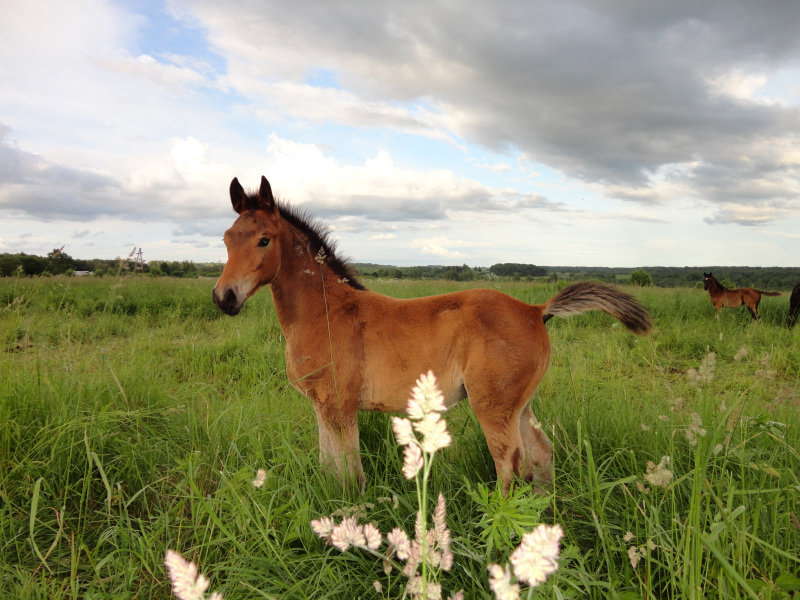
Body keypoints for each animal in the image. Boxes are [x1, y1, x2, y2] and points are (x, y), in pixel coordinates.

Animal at [214, 177, 656, 492]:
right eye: (226, 239)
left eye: (264, 240)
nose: (224, 298)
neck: (325, 312)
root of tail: (535, 311)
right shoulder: (323, 407)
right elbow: (330, 468)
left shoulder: (340, 407)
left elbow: (351, 475)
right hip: (521, 404)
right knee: (541, 454)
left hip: (493, 407)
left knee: (510, 467)